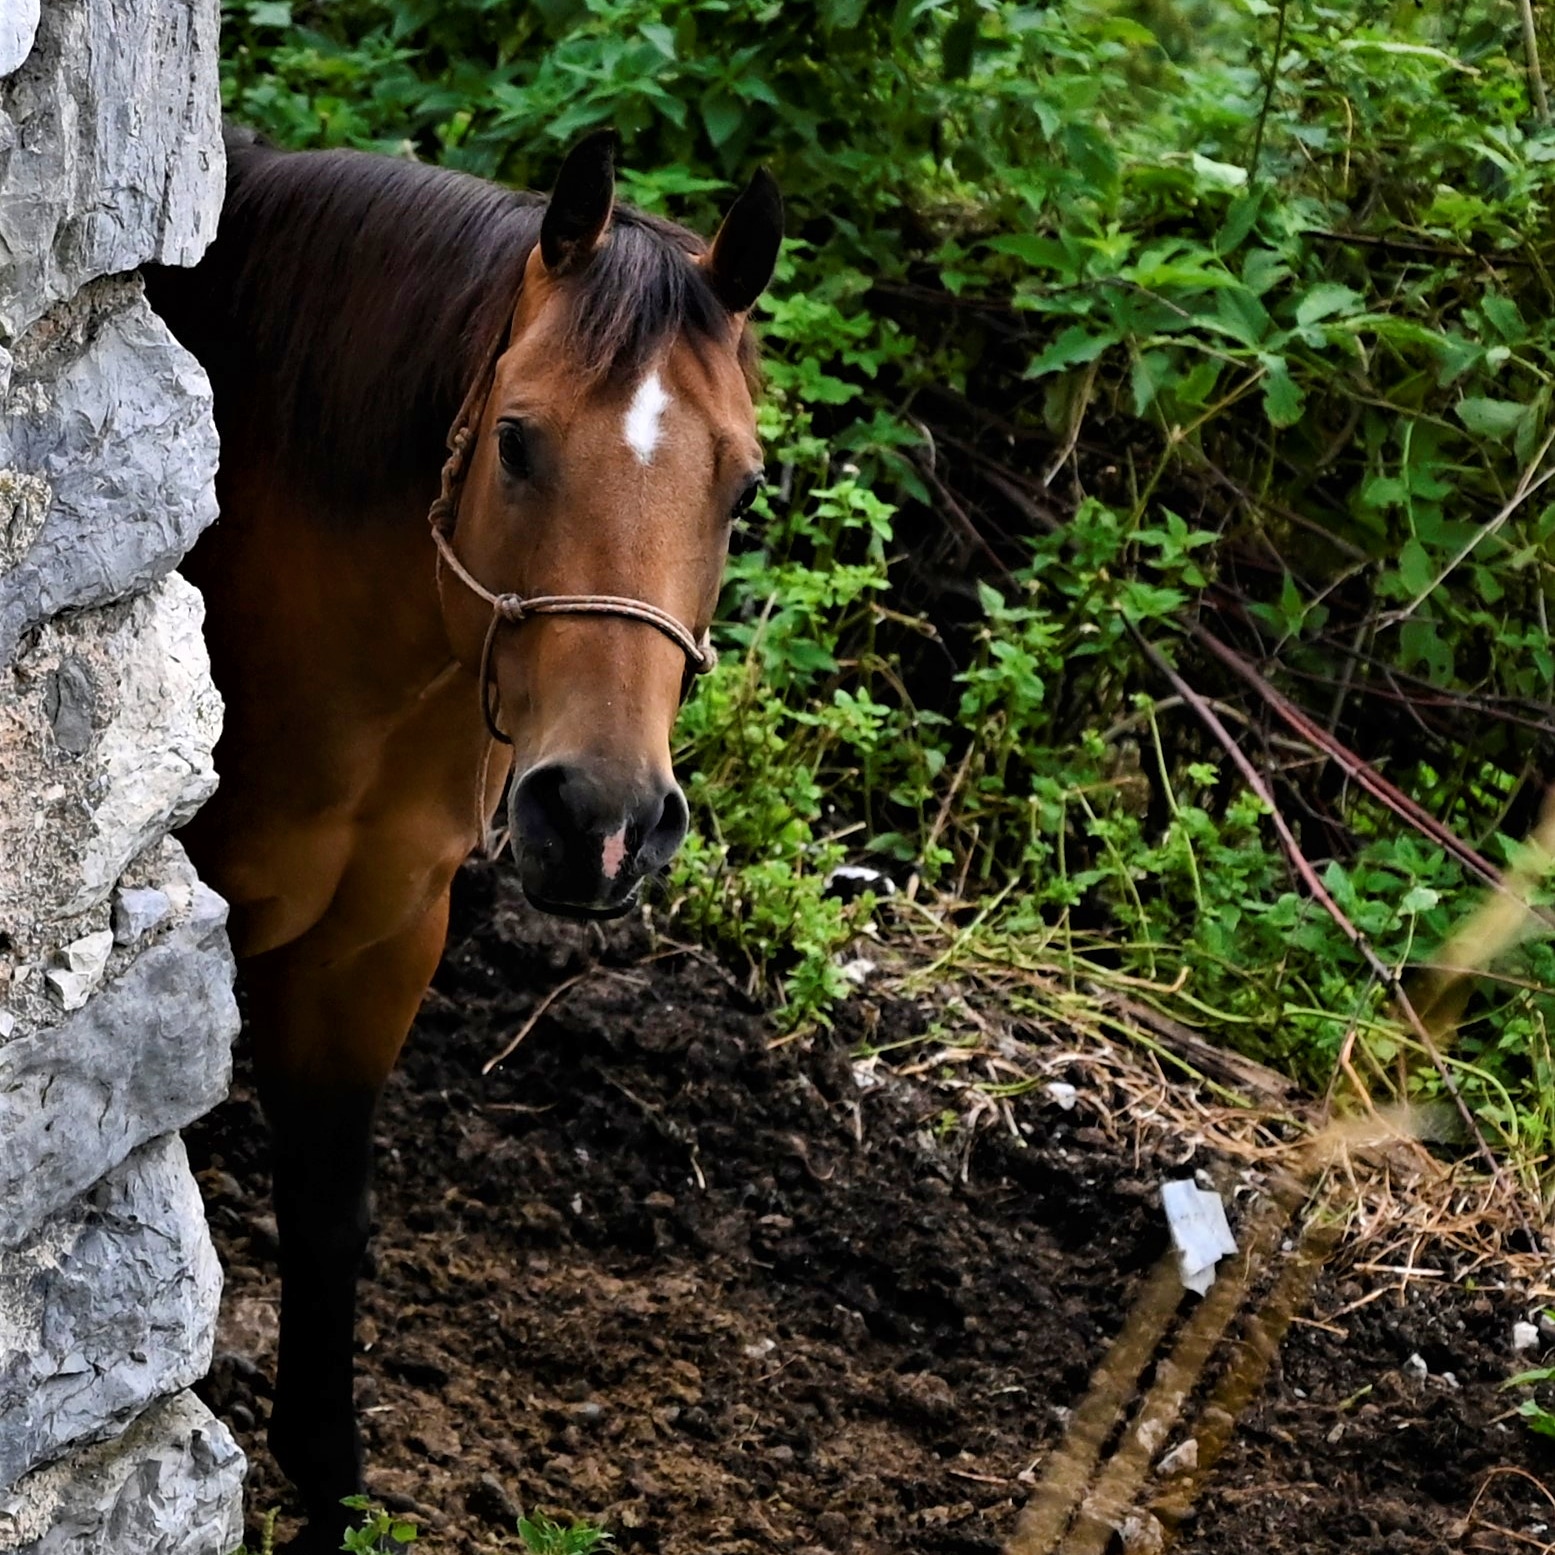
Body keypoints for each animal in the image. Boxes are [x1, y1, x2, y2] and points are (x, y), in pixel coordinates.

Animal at [144, 127, 781, 1544]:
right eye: (517, 442)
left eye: (742, 486)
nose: (602, 820)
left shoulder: (377, 938)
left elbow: (329, 1212)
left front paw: (326, 1479)